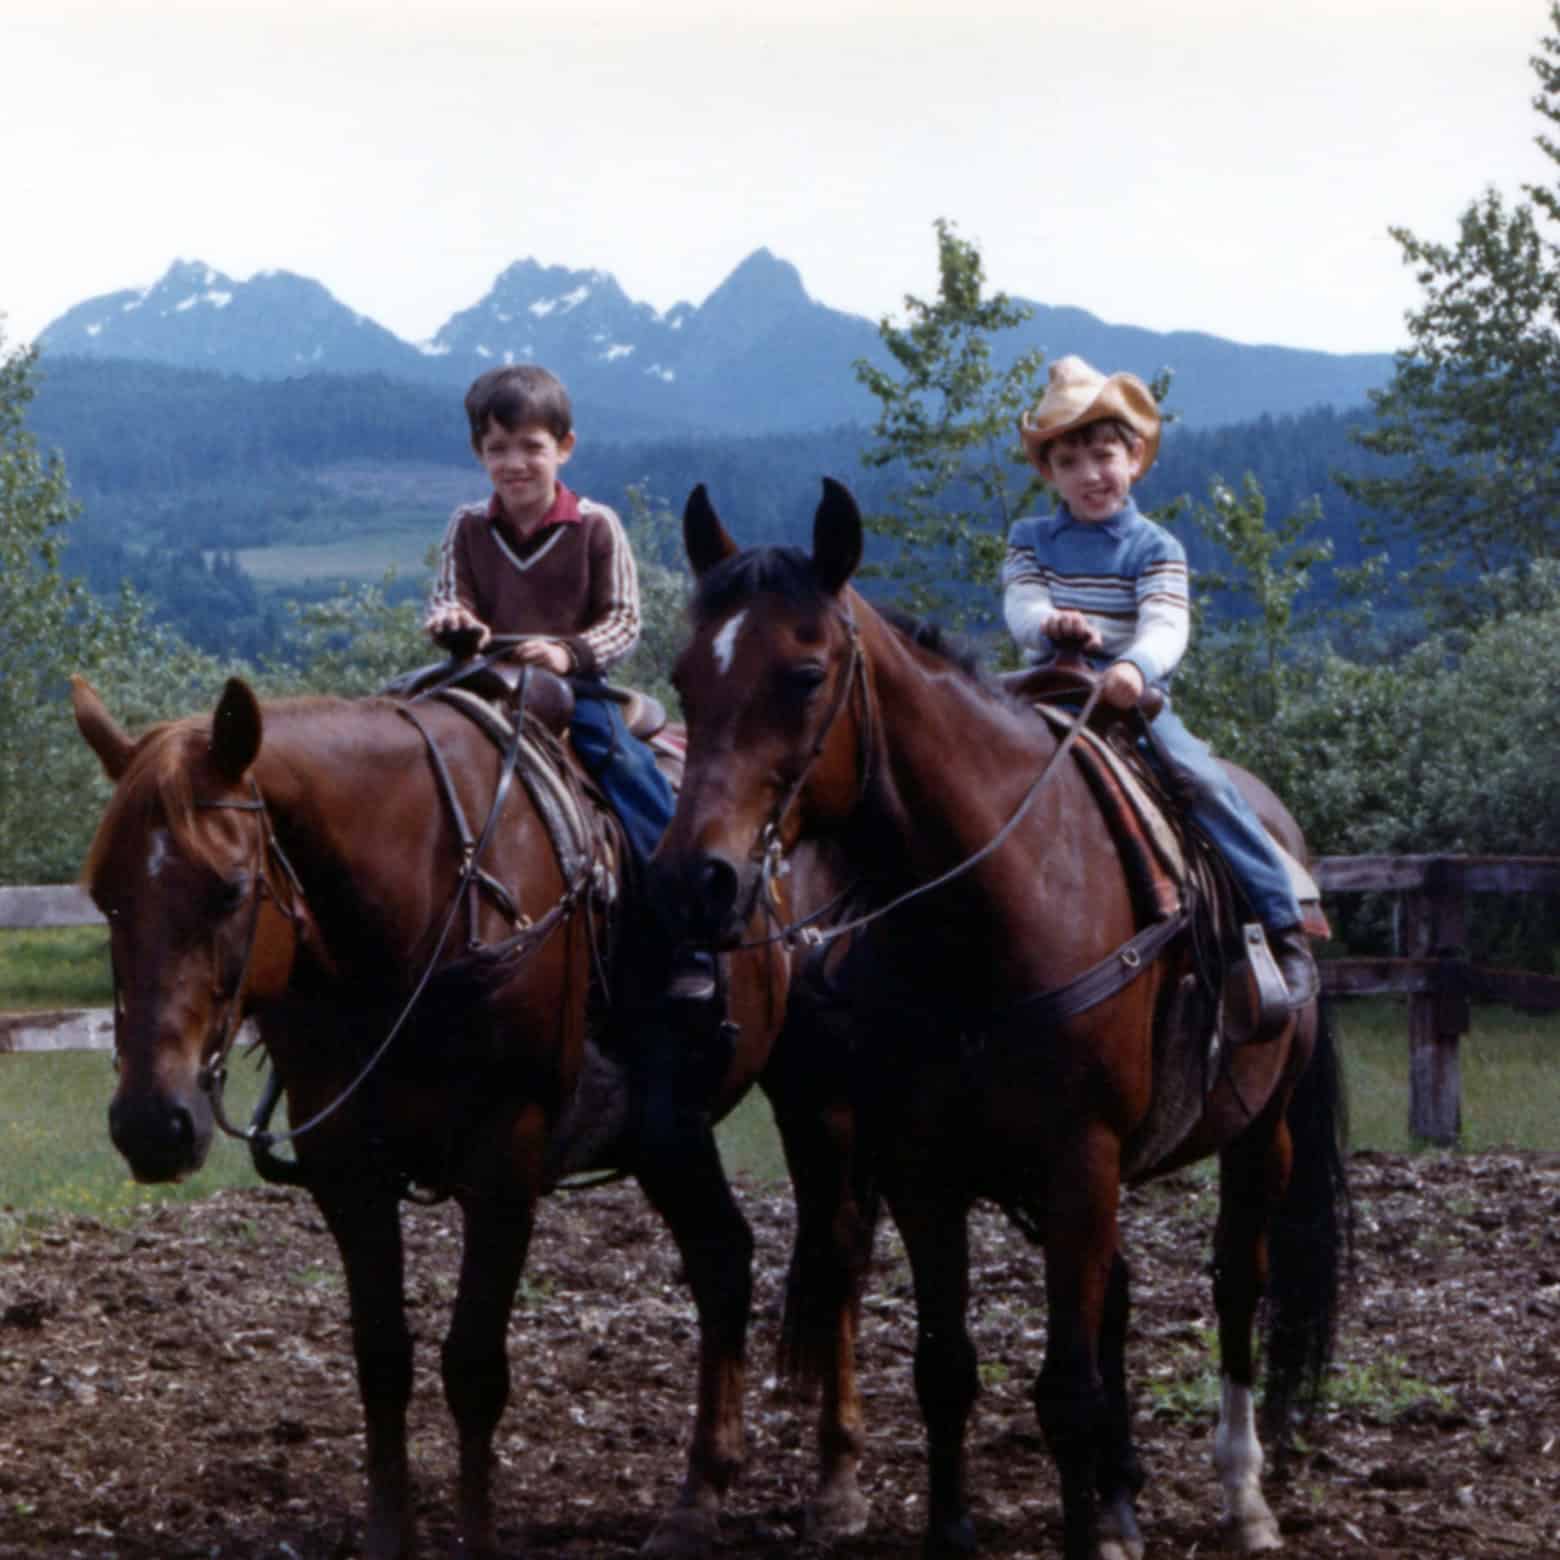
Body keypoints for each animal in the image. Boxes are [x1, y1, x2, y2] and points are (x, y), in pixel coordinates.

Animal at [73, 680, 873, 1560]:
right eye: (105, 895)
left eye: (228, 888)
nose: (153, 1123)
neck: (419, 910)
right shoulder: (348, 1173)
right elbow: (382, 1358)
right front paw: (389, 1535)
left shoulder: (504, 1164)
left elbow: (473, 1369)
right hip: (672, 1130)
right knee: (723, 1260)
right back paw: (698, 1499)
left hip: (821, 1100)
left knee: (835, 1254)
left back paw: (838, 1484)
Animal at [652, 480, 1347, 1560]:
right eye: (686, 678)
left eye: (805, 675)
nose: (700, 881)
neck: (988, 905)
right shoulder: (923, 1172)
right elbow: (946, 1370)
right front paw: (967, 1529)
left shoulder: (1077, 1160)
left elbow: (1065, 1391)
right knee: (1120, 1298)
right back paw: (1123, 1496)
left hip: (1257, 1132)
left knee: (1239, 1284)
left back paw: (1244, 1494)